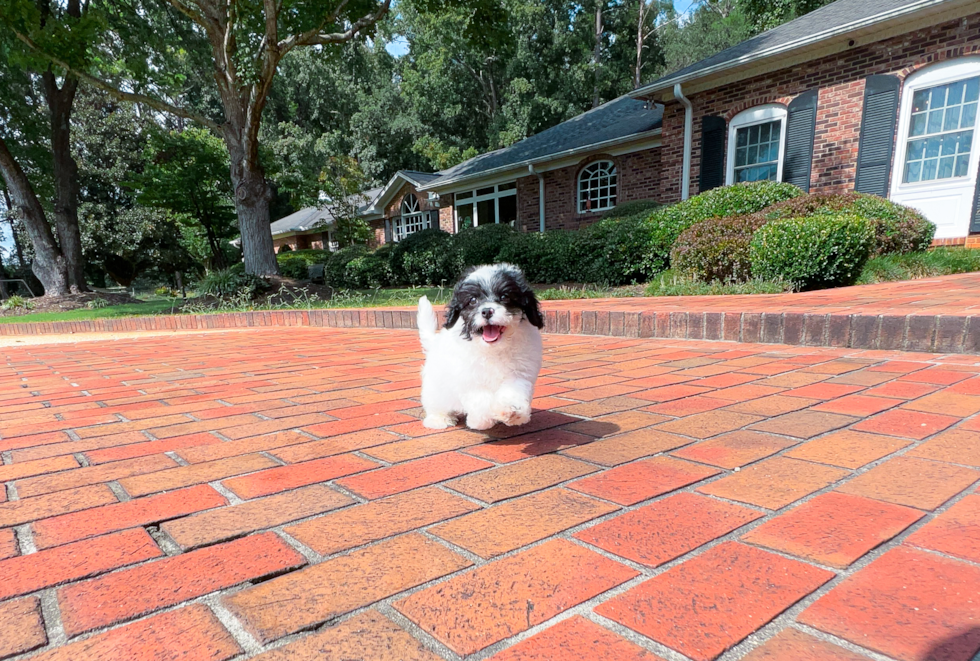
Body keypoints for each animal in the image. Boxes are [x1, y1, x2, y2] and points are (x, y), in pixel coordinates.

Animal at [418, 262, 548, 434]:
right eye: (473, 300)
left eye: (504, 297)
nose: (487, 311)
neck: (493, 348)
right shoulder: (468, 376)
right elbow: (479, 399)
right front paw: (481, 421)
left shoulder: (520, 372)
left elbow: (513, 390)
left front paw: (511, 411)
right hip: (435, 386)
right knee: (435, 402)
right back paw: (439, 419)